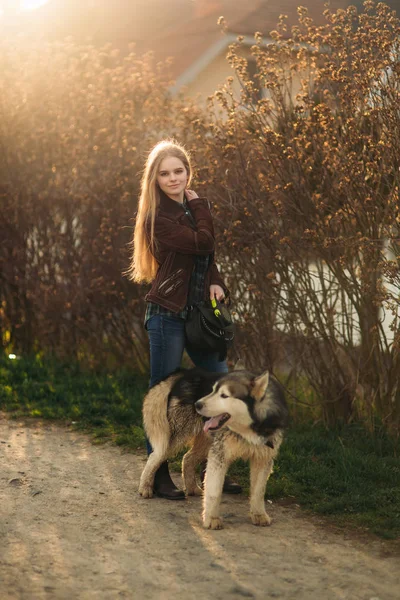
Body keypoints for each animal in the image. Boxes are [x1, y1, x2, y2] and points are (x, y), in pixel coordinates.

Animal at [138, 366, 288, 528]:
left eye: (224, 395)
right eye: (213, 390)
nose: (197, 404)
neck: (247, 430)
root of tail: (187, 372)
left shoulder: (263, 459)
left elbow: (259, 492)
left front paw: (259, 514)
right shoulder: (219, 455)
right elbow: (214, 491)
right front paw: (211, 519)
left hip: (206, 441)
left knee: (187, 458)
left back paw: (192, 488)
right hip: (175, 438)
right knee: (155, 456)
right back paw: (145, 487)